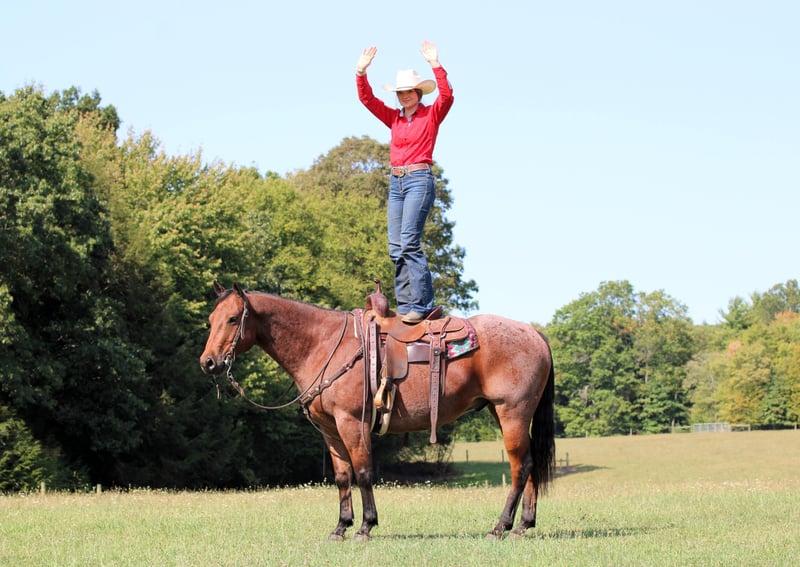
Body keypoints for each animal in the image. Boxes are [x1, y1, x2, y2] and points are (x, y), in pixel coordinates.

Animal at [200, 282, 555, 541]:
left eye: (233, 319)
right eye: (211, 320)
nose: (208, 362)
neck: (323, 344)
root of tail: (533, 332)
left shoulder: (351, 423)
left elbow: (364, 472)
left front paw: (365, 526)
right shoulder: (330, 430)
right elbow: (343, 477)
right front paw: (340, 527)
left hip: (512, 413)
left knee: (520, 467)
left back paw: (501, 526)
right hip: (505, 414)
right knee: (530, 465)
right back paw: (523, 525)